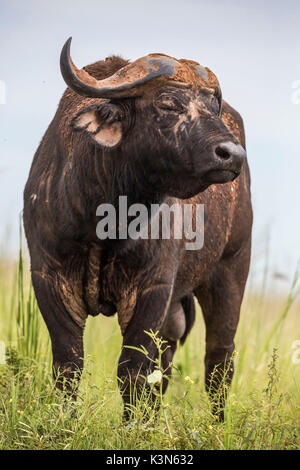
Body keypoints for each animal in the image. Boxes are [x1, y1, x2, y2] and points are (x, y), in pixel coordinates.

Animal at [24, 37, 253, 418]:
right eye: (168, 103)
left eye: (213, 107)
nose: (232, 154)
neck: (105, 223)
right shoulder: (49, 277)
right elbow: (68, 365)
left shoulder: (152, 287)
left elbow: (132, 372)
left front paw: (134, 425)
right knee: (167, 362)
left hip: (231, 270)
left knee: (219, 361)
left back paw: (219, 423)